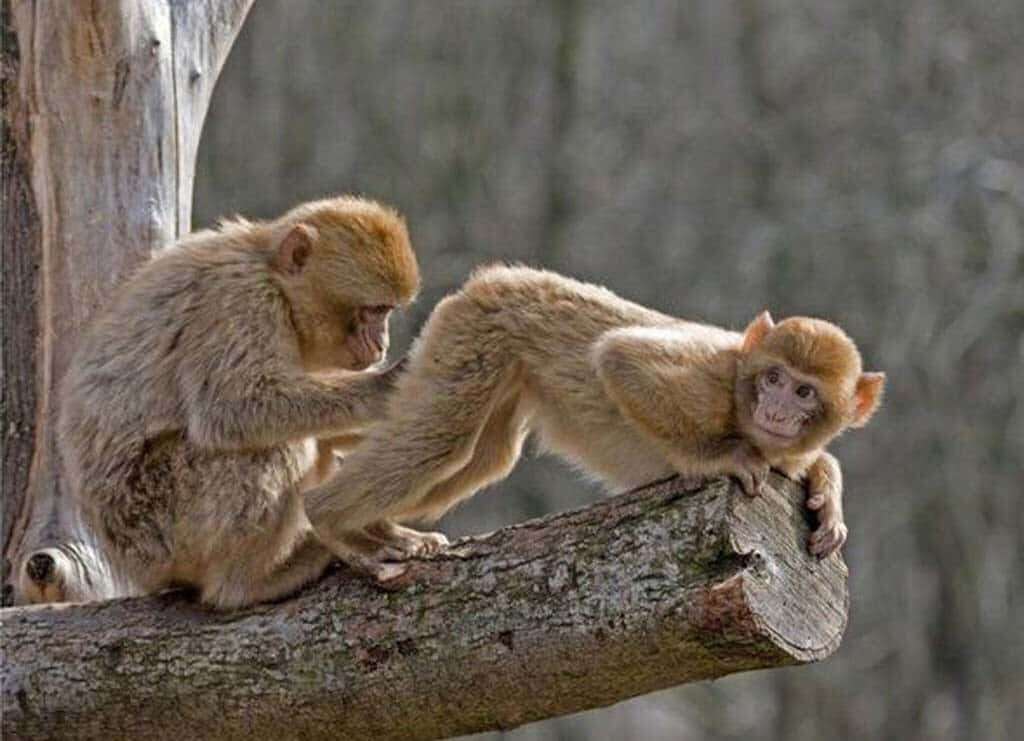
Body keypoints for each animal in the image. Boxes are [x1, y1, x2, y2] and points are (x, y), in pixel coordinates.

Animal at [17, 195, 421, 609]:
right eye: (372, 311)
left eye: (386, 313)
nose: (381, 345)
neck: (273, 278)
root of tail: (134, 567)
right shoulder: (240, 300)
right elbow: (233, 409)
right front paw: (386, 387)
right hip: (161, 523)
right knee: (275, 447)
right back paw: (249, 582)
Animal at [304, 265, 885, 579]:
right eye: (774, 379)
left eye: (805, 391)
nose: (777, 410)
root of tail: (493, 278)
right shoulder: (711, 378)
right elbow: (619, 358)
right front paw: (721, 459)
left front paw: (827, 494)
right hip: (474, 335)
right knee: (441, 438)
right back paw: (328, 516)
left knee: (483, 457)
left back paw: (373, 527)